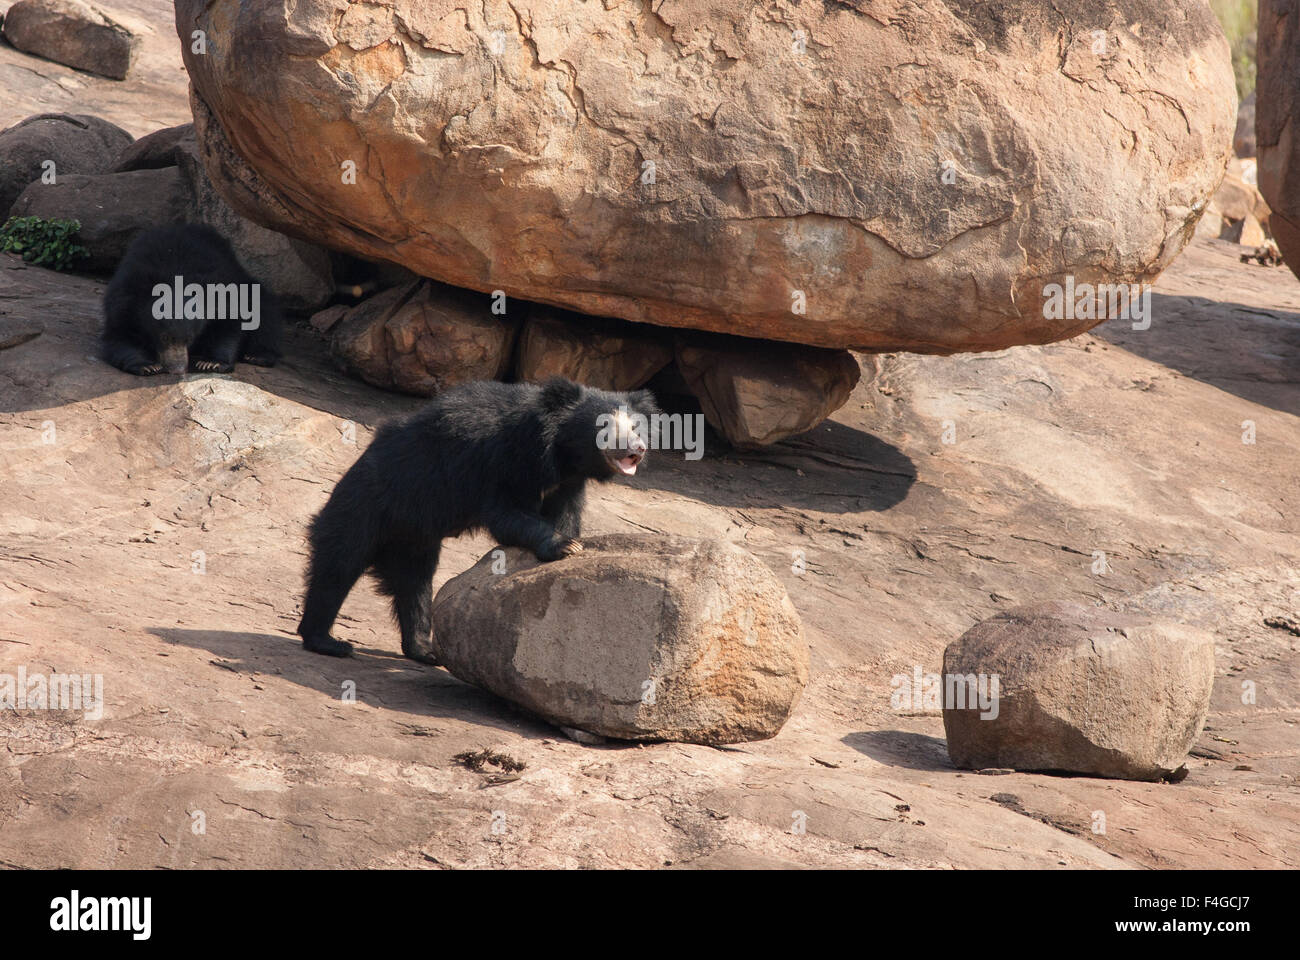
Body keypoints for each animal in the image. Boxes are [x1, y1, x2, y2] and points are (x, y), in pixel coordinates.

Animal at [100, 223, 282, 374]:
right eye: (164, 337)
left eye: (190, 338)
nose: (178, 369)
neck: (175, 275)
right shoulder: (124, 299)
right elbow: (119, 336)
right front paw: (148, 366)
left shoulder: (223, 289)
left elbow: (229, 326)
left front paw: (211, 363)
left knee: (265, 312)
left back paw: (257, 356)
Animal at [297, 374, 655, 658]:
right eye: (605, 426)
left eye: (635, 426)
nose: (637, 449)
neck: (559, 453)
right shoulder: (498, 460)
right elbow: (507, 513)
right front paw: (564, 546)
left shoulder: (567, 482)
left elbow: (565, 513)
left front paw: (572, 540)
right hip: (367, 505)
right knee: (339, 564)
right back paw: (327, 642)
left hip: (414, 537)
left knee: (414, 583)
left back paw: (424, 650)